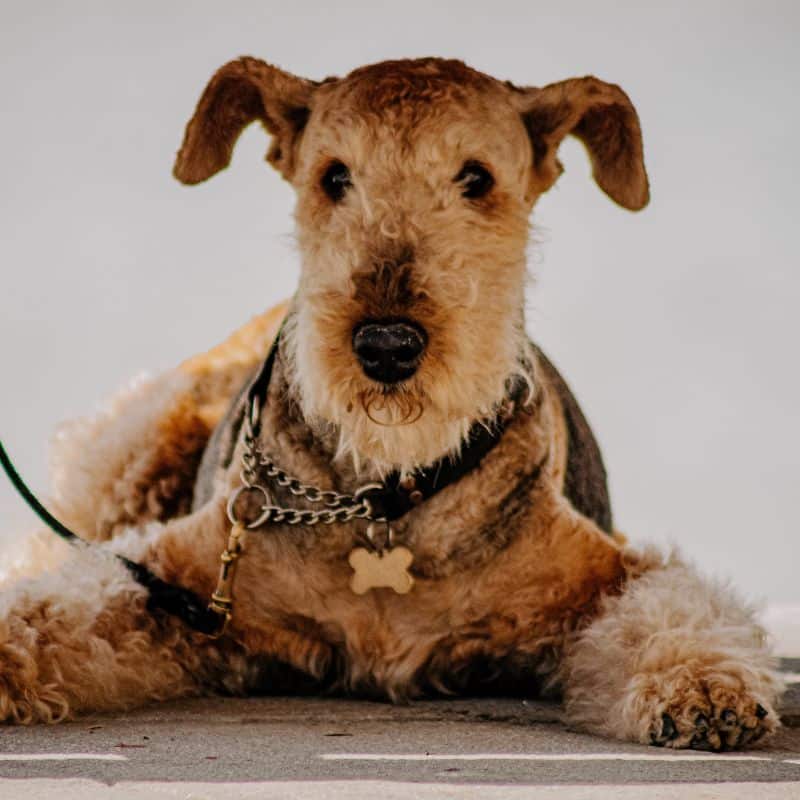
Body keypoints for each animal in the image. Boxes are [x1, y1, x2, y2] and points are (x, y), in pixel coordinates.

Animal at [0, 57, 780, 752]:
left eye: (476, 177)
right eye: (334, 176)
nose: (386, 346)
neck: (385, 494)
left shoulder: (612, 573)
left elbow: (669, 606)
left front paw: (707, 688)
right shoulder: (170, 584)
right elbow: (61, 604)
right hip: (125, 463)